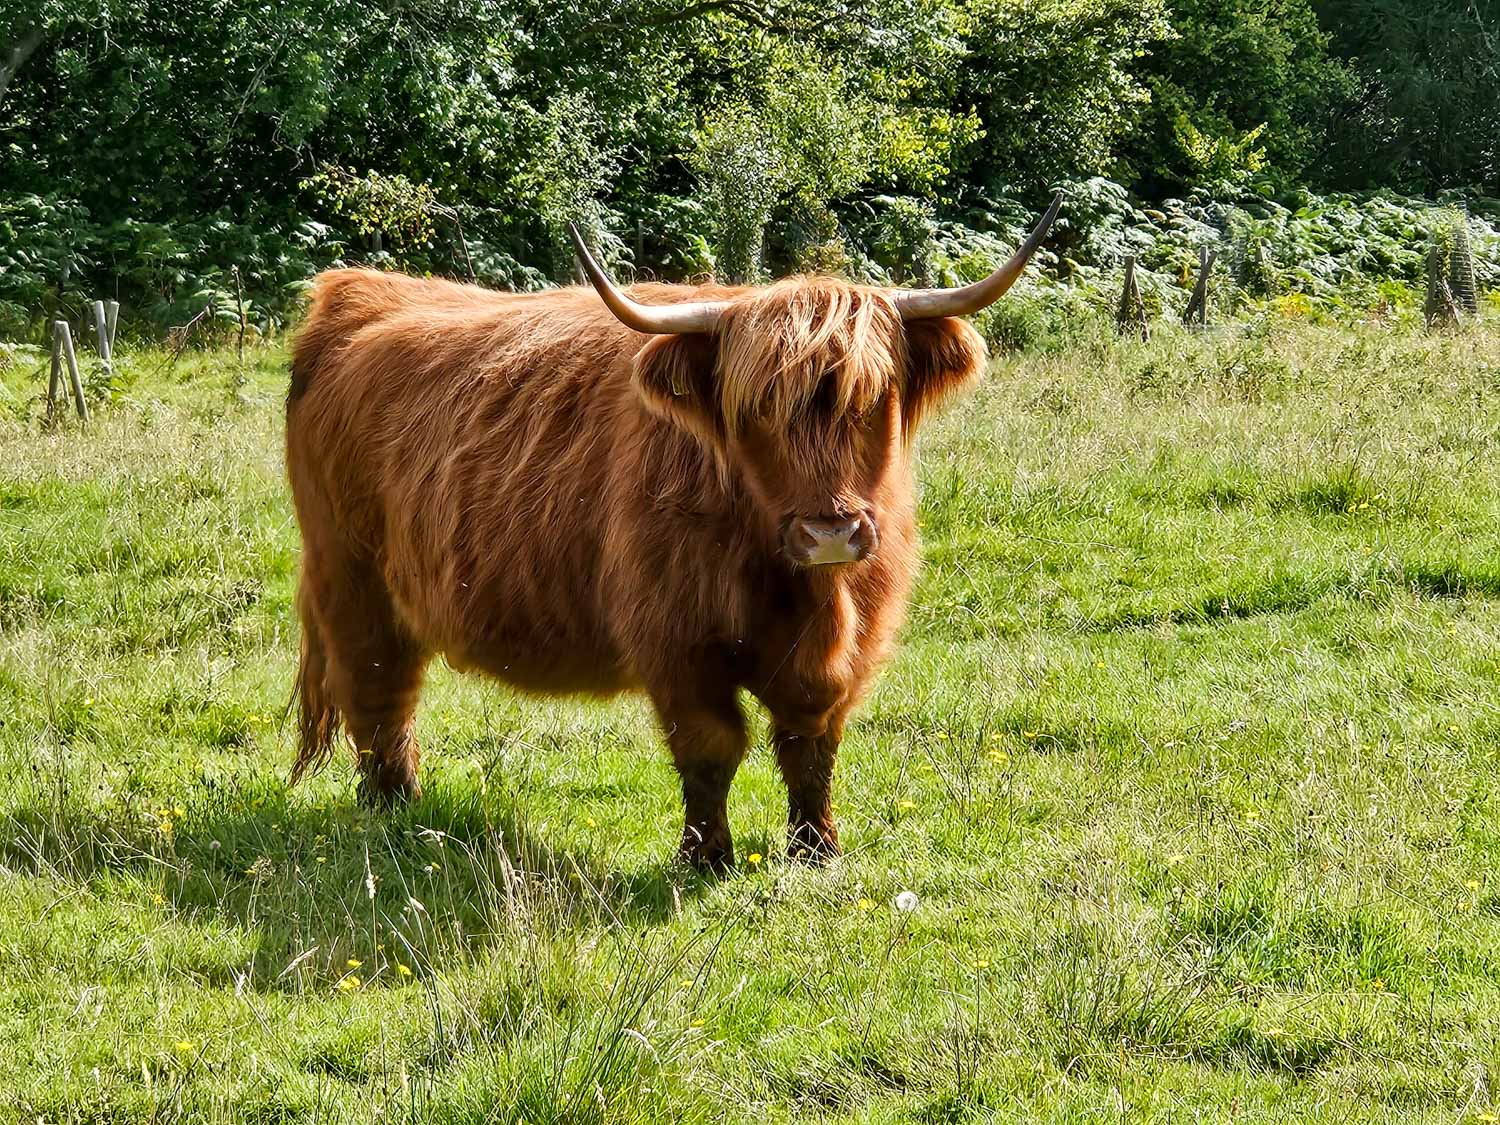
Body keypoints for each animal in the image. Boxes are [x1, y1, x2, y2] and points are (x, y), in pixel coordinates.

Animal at [285, 196, 1061, 871]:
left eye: (872, 400)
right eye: (754, 412)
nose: (830, 532)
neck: (799, 592)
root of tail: (356, 292)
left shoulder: (849, 642)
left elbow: (811, 743)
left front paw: (815, 849)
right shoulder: (675, 640)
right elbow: (712, 746)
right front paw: (706, 857)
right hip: (349, 573)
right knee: (378, 689)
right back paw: (393, 808)